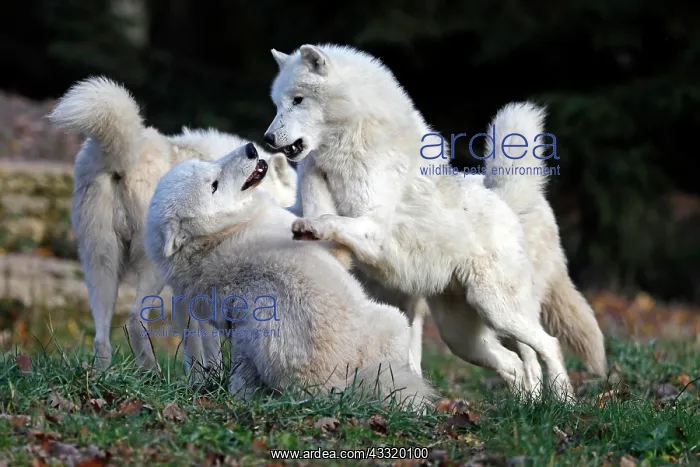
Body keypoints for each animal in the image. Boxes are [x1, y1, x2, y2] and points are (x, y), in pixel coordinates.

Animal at [48, 77, 298, 370]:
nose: (252, 150)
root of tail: (122, 157)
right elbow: (210, 342)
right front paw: (215, 373)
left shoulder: (186, 290)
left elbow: (194, 342)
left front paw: (201, 374)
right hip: (148, 270)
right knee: (134, 319)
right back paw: (150, 371)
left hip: (99, 263)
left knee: (100, 336)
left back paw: (103, 374)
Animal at [143, 141, 437, 410]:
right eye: (214, 185)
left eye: (210, 166)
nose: (250, 149)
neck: (220, 233)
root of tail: (333, 388)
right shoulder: (333, 253)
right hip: (394, 321)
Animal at [262, 44, 607, 400]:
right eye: (277, 104)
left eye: (298, 100)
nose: (268, 138)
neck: (348, 147)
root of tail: (503, 202)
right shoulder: (312, 186)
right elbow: (301, 206)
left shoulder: (374, 228)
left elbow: (331, 218)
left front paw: (311, 227)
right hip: (462, 337)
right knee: (515, 363)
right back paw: (527, 404)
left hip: (499, 313)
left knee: (548, 346)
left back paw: (563, 401)